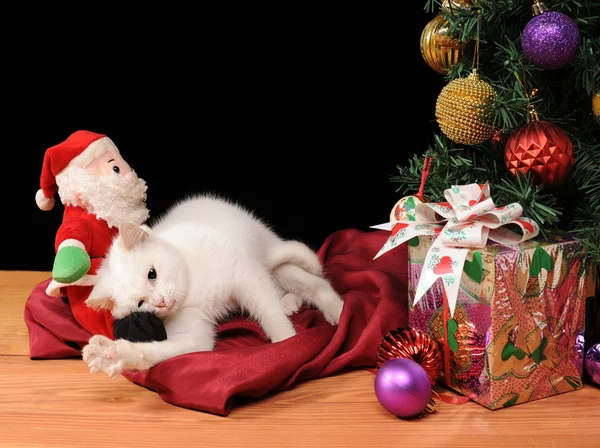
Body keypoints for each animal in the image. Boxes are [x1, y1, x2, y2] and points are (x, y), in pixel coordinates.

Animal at [81, 194, 342, 380]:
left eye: (151, 274)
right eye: (140, 303)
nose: (161, 303)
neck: (190, 290)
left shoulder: (245, 275)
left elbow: (270, 313)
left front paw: (287, 344)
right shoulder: (194, 335)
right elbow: (166, 349)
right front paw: (113, 355)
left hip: (270, 259)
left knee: (314, 283)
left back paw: (336, 309)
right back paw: (289, 301)